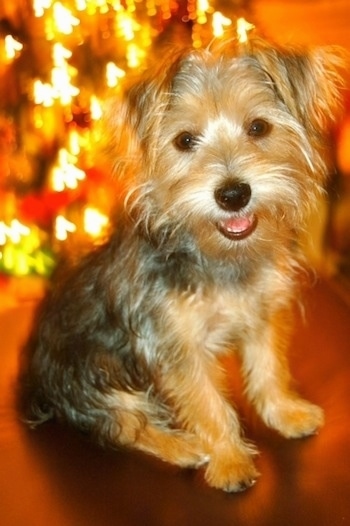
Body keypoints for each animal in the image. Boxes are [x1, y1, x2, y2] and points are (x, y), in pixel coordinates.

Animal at [23, 38, 344, 496]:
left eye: (258, 128)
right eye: (185, 140)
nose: (233, 194)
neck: (220, 256)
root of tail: (37, 384)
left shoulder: (262, 314)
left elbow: (269, 370)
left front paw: (285, 413)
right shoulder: (177, 348)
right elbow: (208, 404)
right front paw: (229, 460)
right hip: (95, 367)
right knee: (123, 425)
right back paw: (184, 446)